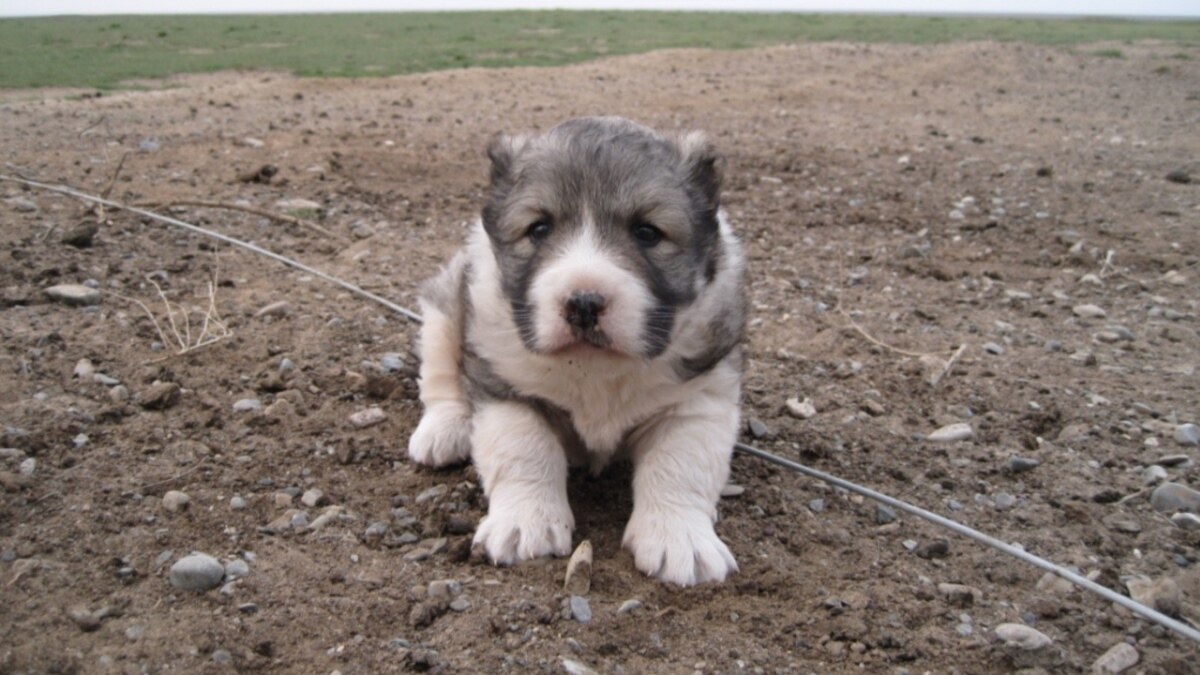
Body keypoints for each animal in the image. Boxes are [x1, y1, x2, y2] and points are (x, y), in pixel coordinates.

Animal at [412, 115, 748, 583]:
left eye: (647, 232)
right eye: (538, 228)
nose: (584, 303)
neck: (594, 368)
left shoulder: (699, 395)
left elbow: (681, 463)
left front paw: (681, 539)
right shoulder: (504, 385)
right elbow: (523, 447)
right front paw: (525, 522)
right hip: (447, 300)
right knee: (440, 370)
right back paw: (444, 430)